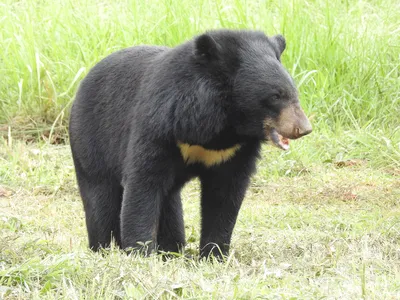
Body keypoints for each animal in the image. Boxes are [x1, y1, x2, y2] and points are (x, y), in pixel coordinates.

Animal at [69, 31, 312, 260]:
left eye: (294, 93)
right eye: (276, 96)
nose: (304, 128)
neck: (224, 125)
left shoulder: (234, 151)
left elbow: (225, 195)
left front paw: (214, 255)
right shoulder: (161, 125)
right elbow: (143, 183)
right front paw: (140, 253)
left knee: (170, 204)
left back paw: (171, 250)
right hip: (91, 143)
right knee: (100, 199)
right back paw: (103, 248)